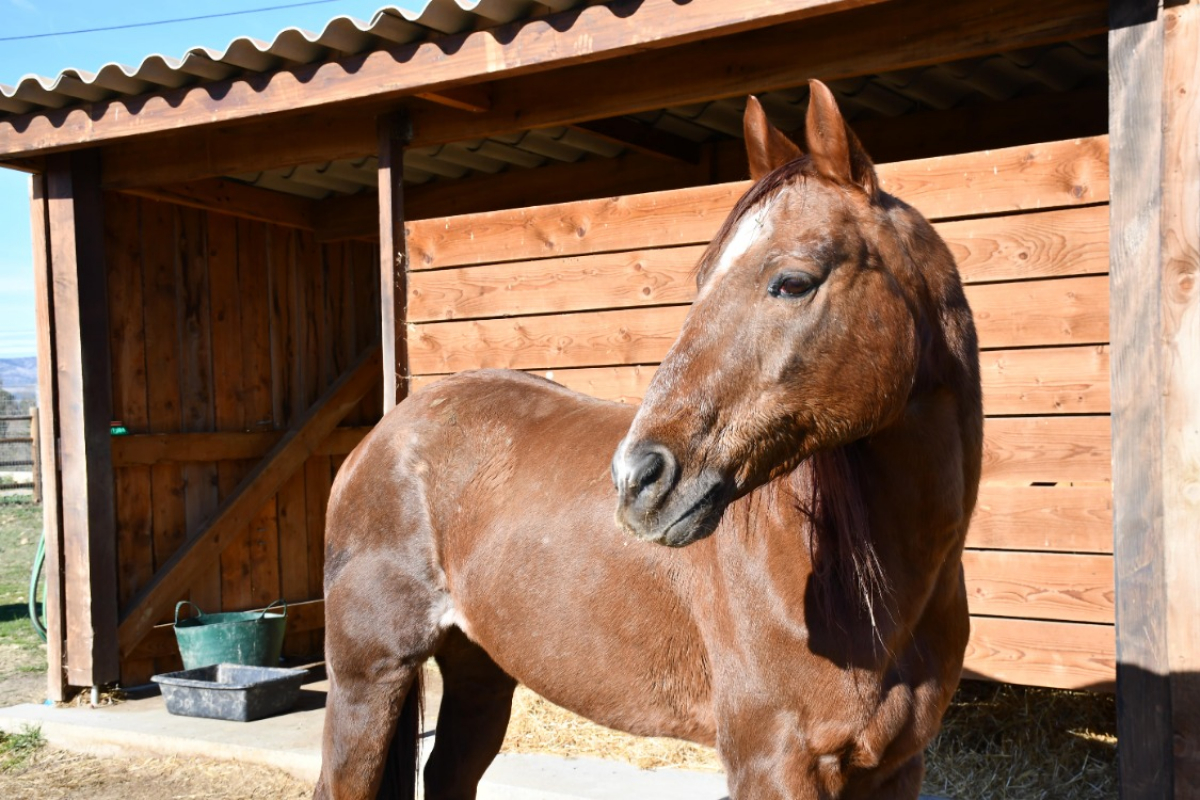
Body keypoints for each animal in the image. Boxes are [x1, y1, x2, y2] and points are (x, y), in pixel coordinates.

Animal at [314, 79, 982, 800]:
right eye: (702, 280)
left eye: (793, 280)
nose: (637, 479)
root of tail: (381, 438)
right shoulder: (774, 765)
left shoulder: (897, 765)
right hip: (367, 678)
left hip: (481, 671)